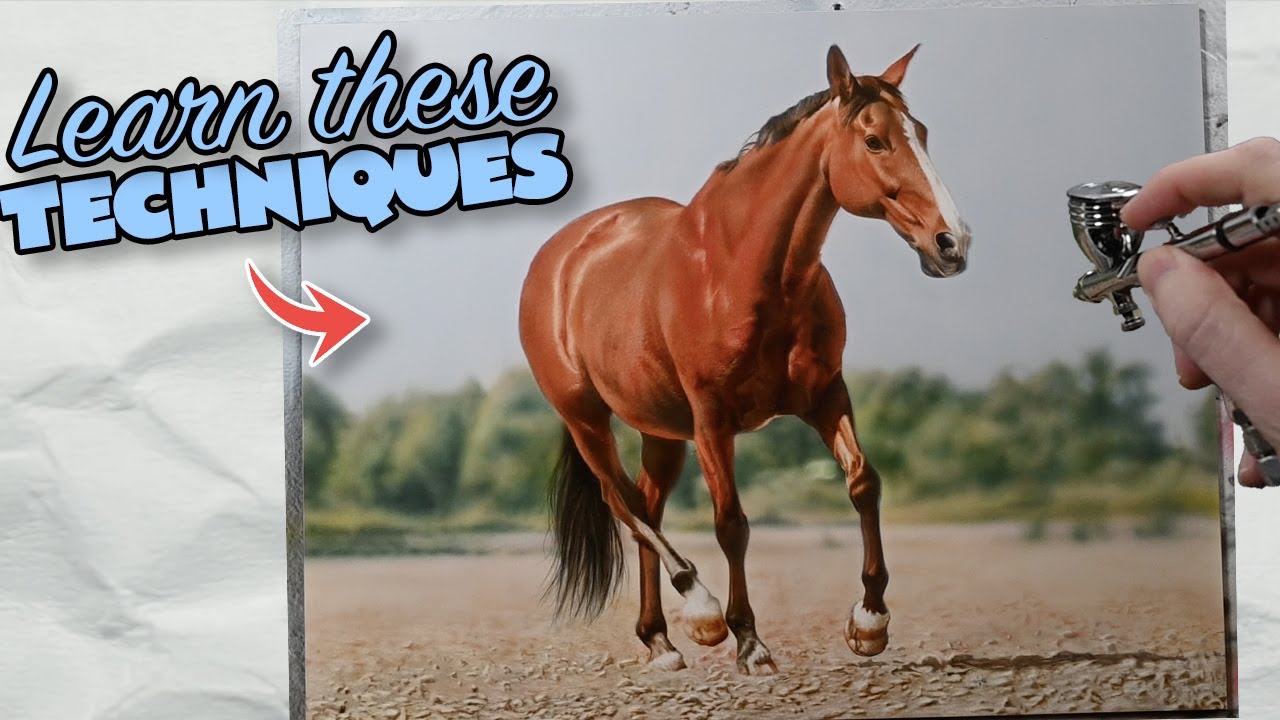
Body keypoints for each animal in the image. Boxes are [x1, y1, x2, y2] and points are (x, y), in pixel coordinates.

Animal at [517, 43, 970, 675]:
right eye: (874, 140)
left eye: (921, 133)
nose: (952, 243)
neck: (749, 271)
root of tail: (557, 257)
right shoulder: (712, 420)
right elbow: (732, 524)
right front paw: (747, 640)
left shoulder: (826, 396)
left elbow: (864, 483)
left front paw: (869, 621)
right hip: (587, 418)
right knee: (625, 503)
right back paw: (698, 610)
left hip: (661, 431)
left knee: (647, 506)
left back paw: (660, 640)